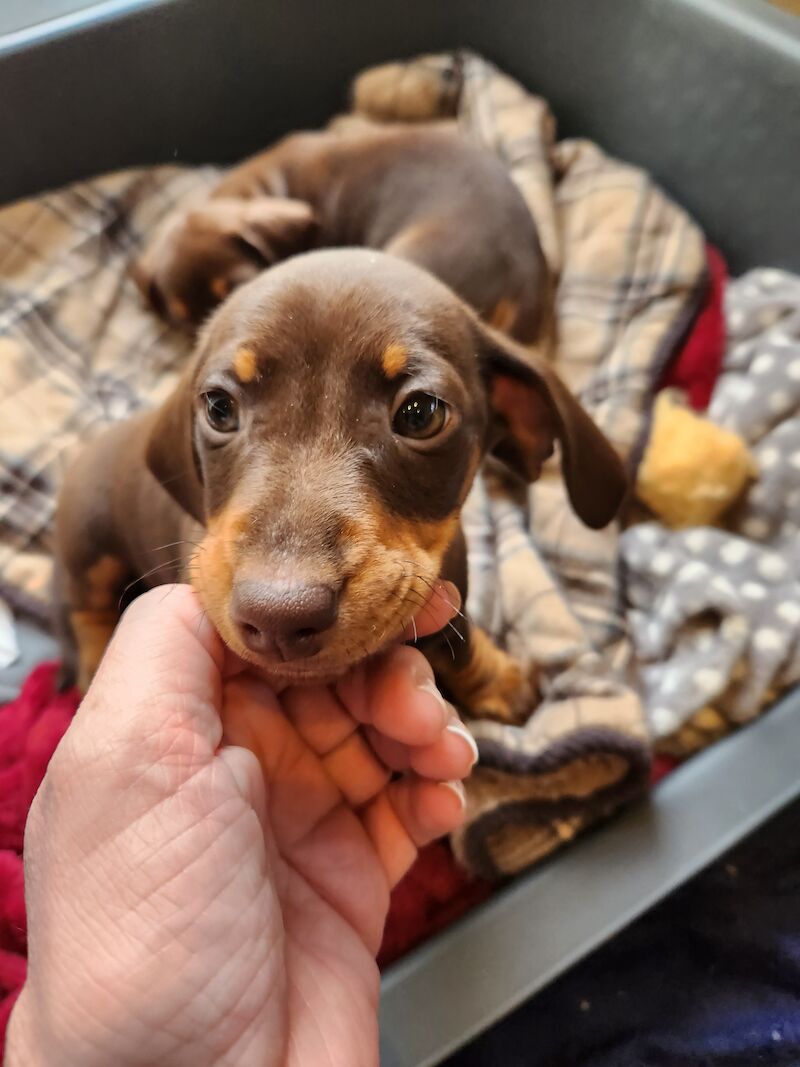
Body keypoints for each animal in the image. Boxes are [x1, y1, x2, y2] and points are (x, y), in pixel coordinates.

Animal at [56, 249, 631, 721]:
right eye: (219, 408)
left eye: (421, 413)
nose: (279, 618)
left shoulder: (446, 600)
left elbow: (460, 641)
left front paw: (498, 680)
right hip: (88, 545)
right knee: (86, 607)